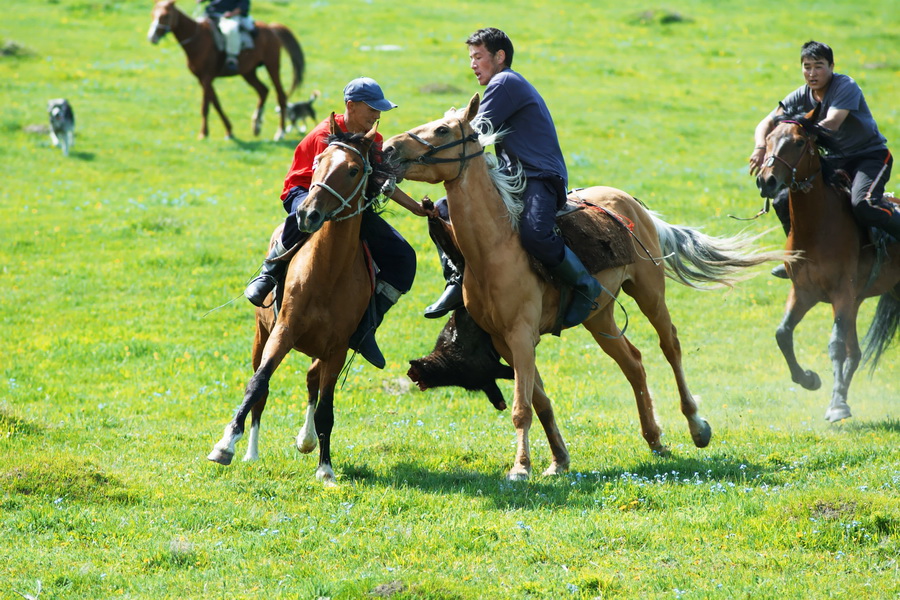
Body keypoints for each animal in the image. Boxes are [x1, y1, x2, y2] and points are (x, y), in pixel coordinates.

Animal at [146, 0, 304, 141]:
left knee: (280, 95)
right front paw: (228, 130)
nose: (152, 37)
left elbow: (206, 106)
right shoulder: (202, 79)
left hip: (272, 65)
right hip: (248, 72)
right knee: (263, 90)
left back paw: (280, 132)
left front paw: (204, 133)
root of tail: (271, 28)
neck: (197, 40)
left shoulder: (206, 77)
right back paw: (256, 125)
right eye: (152, 14)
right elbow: (215, 103)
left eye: (166, 15)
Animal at [211, 116, 394, 482]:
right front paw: (225, 445)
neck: (329, 271)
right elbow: (257, 385)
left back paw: (307, 440)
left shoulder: (338, 347)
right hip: (261, 334)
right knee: (263, 392)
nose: (307, 215)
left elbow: (325, 408)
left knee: (312, 382)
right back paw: (251, 452)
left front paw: (326, 468)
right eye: (318, 160)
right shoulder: (284, 331)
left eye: (353, 170)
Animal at [384, 92, 784, 478]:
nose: (387, 147)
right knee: (633, 363)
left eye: (442, 130)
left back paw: (697, 426)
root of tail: (632, 204)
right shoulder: (505, 342)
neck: (494, 249)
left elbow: (521, 407)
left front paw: (520, 467)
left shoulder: (520, 336)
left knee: (670, 345)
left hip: (649, 293)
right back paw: (654, 439)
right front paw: (558, 460)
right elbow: (540, 402)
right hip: (600, 316)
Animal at [760, 104, 900, 422]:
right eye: (770, 138)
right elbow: (783, 334)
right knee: (856, 352)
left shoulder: (841, 293)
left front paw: (837, 405)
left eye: (798, 142)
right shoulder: (804, 292)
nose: (766, 180)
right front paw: (809, 380)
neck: (817, 228)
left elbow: (835, 346)